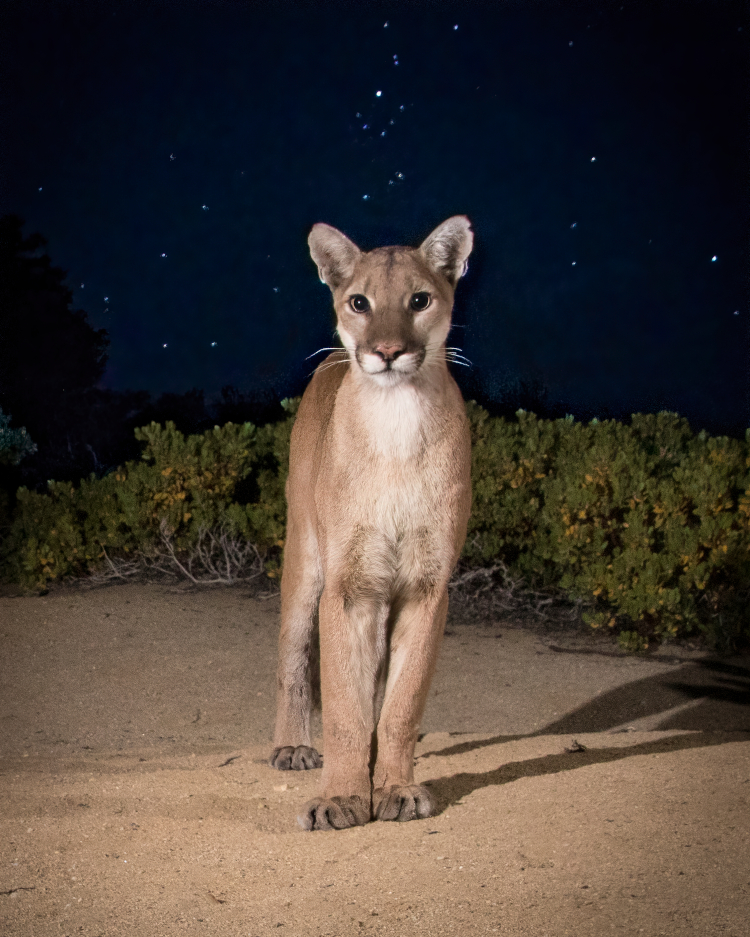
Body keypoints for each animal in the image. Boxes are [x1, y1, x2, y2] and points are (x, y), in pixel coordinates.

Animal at [270, 216, 472, 828]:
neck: (397, 418)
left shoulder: (427, 586)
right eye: (359, 302)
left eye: (419, 300)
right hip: (305, 561)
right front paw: (341, 797)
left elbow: (401, 702)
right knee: (293, 654)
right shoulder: (348, 586)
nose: (386, 351)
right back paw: (292, 746)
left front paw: (395, 788)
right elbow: (343, 705)